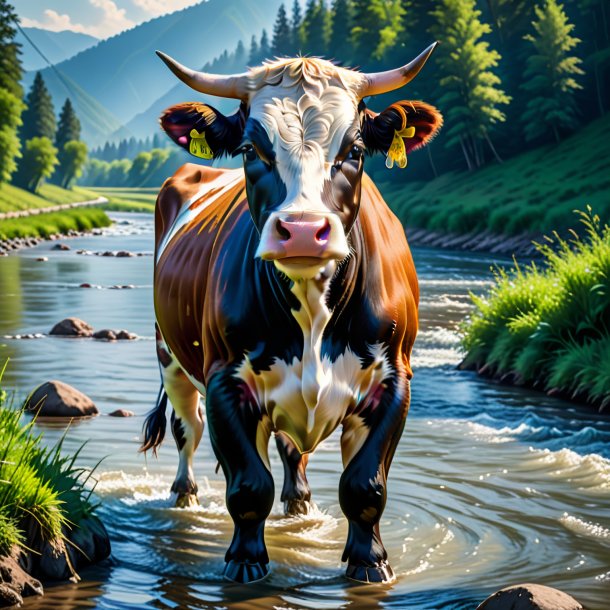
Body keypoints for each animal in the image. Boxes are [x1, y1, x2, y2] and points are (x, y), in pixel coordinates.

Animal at [140, 45, 440, 580]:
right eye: (249, 150)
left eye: (355, 150)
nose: (302, 230)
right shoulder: (224, 379)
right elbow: (247, 485)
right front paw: (244, 563)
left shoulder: (394, 379)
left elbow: (364, 485)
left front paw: (370, 562)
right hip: (169, 357)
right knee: (186, 430)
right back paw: (184, 495)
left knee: (289, 447)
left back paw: (299, 503)